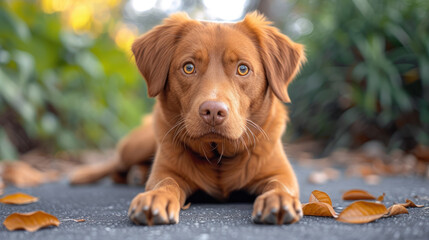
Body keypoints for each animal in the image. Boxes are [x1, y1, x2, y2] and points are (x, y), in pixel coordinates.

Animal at [69, 11, 304, 225]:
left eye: (243, 69)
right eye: (189, 67)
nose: (213, 111)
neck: (218, 158)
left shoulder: (281, 172)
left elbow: (280, 185)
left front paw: (279, 198)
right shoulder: (165, 171)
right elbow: (165, 183)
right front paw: (155, 198)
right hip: (136, 145)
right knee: (115, 164)